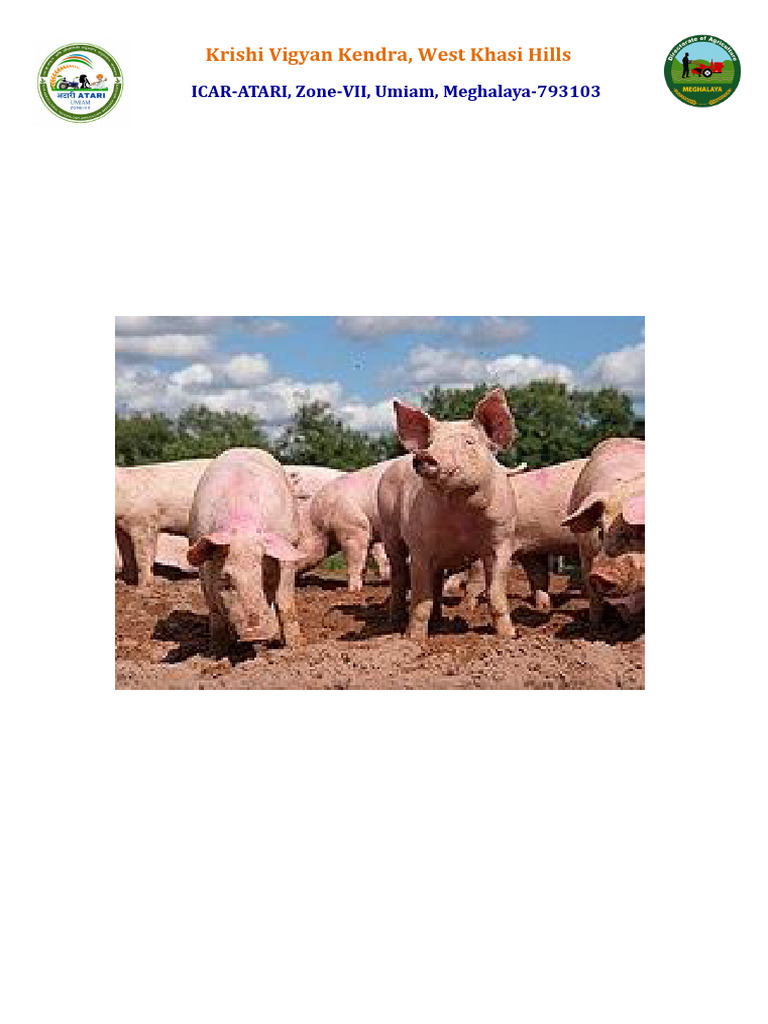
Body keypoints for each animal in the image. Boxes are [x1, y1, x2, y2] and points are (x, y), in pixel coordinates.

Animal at [115, 459, 211, 587]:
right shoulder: (120, 527)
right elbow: (125, 553)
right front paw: (127, 581)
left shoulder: (145, 521)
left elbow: (143, 555)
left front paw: (143, 586)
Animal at [187, 448, 304, 646]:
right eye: (225, 580)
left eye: (265, 576)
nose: (254, 634)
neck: (242, 526)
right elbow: (213, 607)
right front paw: (217, 649)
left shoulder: (288, 548)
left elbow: (285, 600)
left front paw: (295, 646)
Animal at [295, 460, 399, 590]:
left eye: (295, 543)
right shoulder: (368, 534)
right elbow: (364, 562)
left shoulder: (354, 528)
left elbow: (355, 561)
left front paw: (353, 589)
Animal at [377, 389, 518, 639]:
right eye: (431, 442)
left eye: (469, 441)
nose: (424, 455)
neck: (461, 513)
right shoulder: (420, 547)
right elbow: (421, 599)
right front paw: (413, 638)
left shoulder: (502, 540)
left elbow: (495, 593)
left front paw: (509, 636)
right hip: (389, 529)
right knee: (399, 573)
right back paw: (395, 623)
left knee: (435, 583)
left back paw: (439, 624)